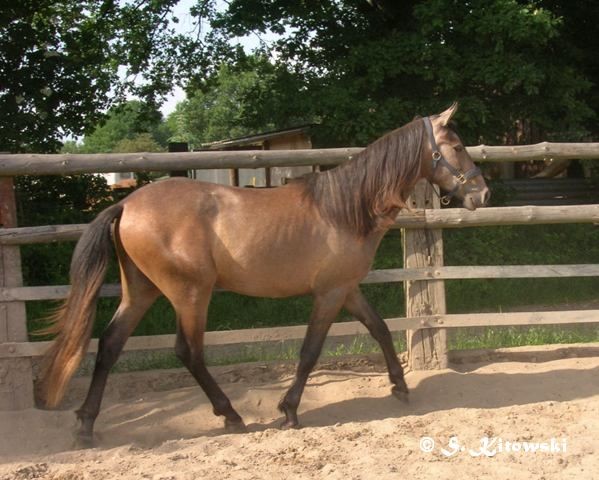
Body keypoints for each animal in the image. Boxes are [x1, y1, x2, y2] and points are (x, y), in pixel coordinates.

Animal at [37, 102, 490, 446]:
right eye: (457, 145)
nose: (482, 193)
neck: (346, 209)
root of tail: (126, 204)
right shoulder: (329, 294)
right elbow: (310, 351)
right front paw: (289, 409)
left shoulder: (346, 289)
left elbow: (379, 329)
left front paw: (400, 387)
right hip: (190, 294)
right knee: (188, 351)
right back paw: (231, 416)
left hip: (142, 290)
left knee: (109, 345)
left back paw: (86, 424)